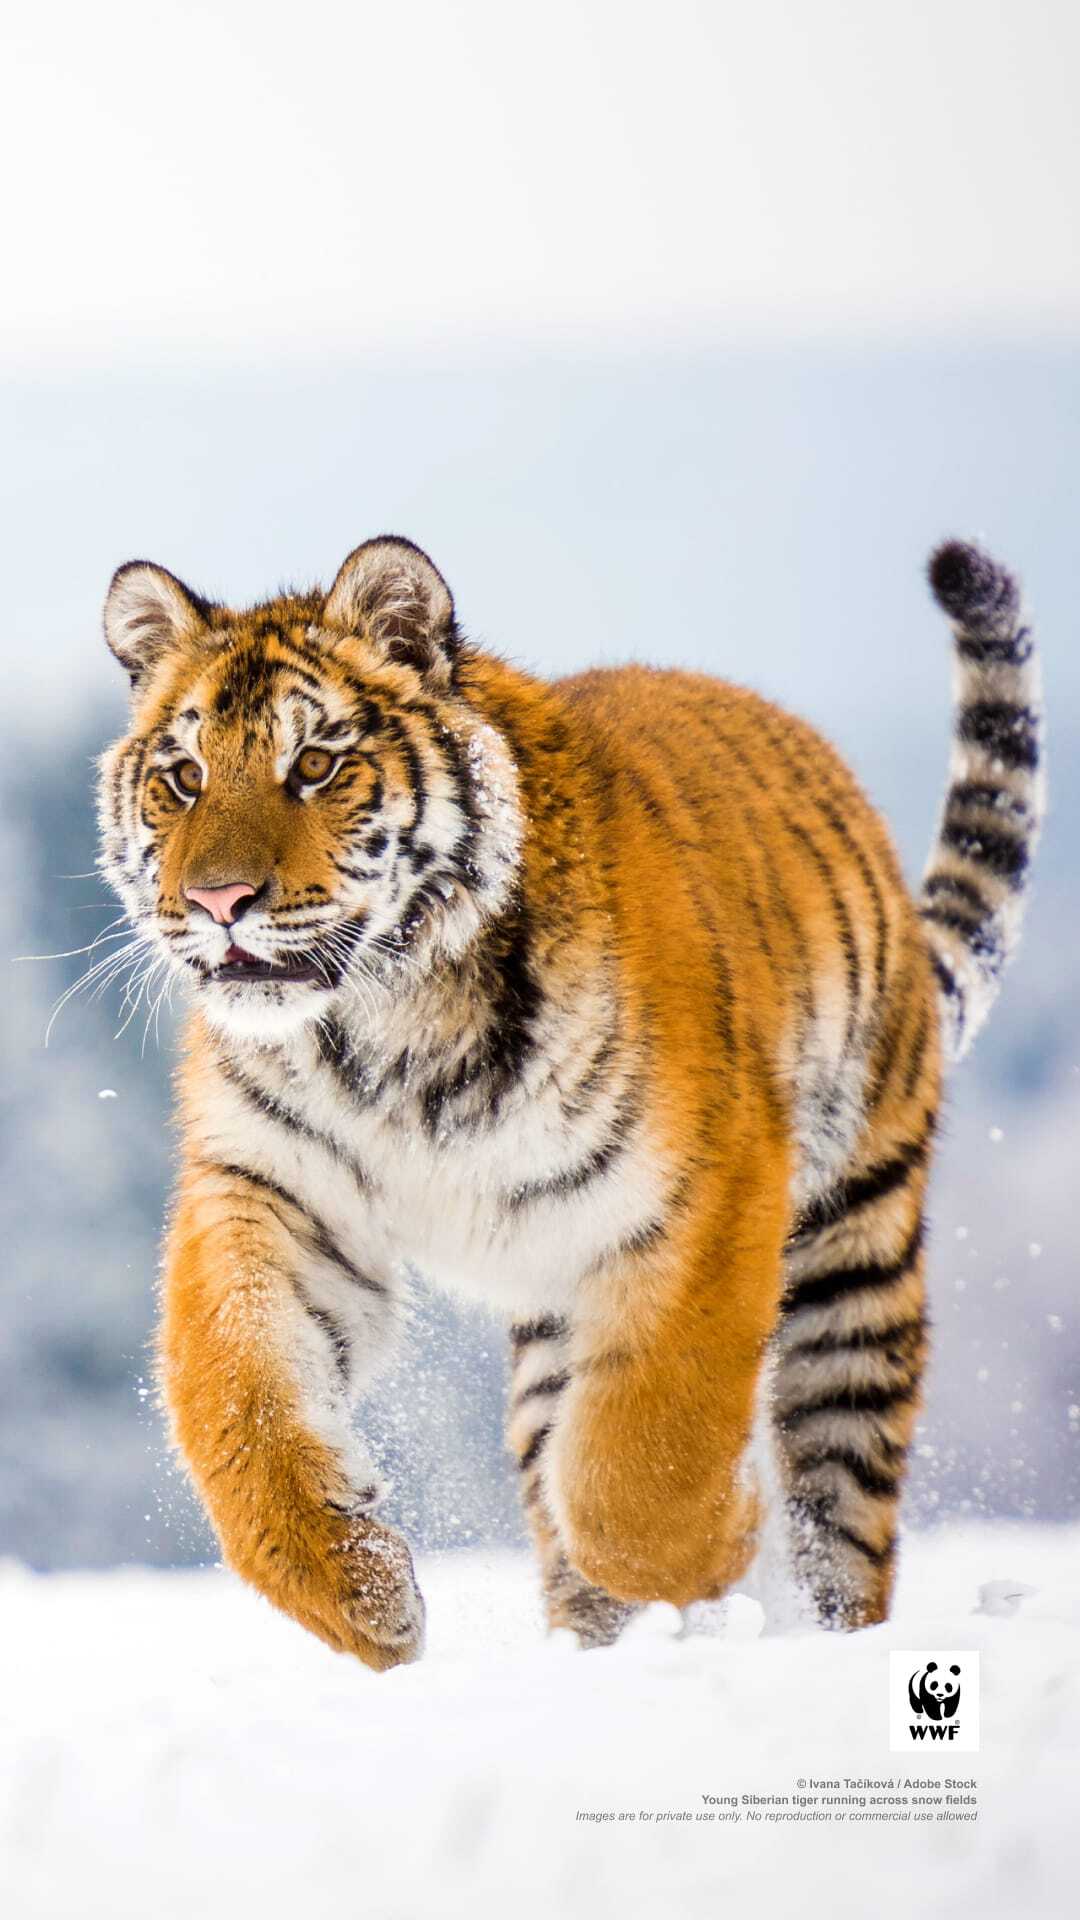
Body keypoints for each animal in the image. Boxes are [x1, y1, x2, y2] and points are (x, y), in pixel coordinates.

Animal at [97, 533, 1044, 1668]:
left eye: (316, 765)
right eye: (184, 778)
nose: (216, 902)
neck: (387, 1020)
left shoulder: (709, 1191)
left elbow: (641, 1459)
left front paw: (723, 1544)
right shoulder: (273, 1189)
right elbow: (238, 1402)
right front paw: (362, 1593)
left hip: (851, 1256)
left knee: (839, 1515)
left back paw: (816, 1633)